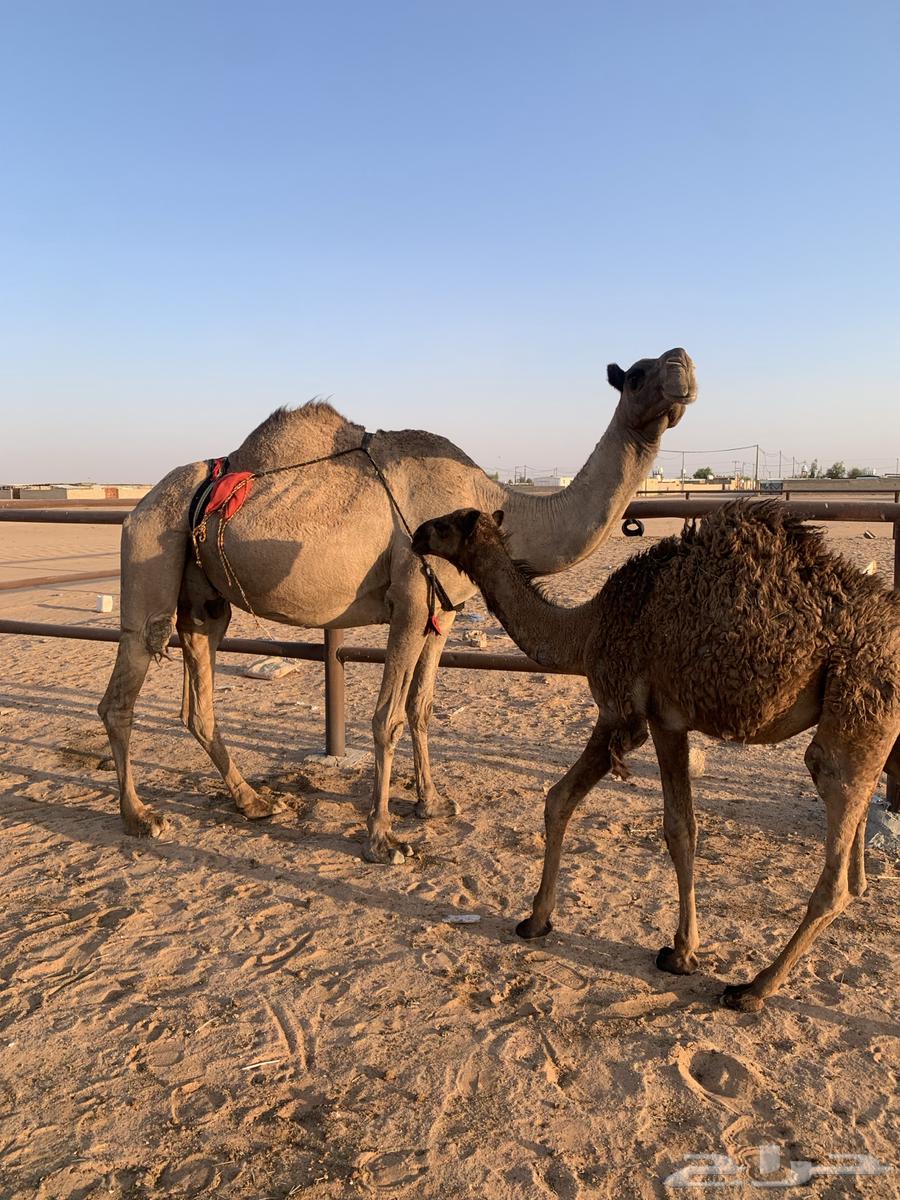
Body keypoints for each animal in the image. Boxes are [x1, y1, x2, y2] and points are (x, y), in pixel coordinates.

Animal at [98, 348, 697, 863]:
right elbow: (385, 716)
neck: (495, 502)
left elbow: (420, 706)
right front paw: (384, 839)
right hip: (150, 550)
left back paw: (253, 801)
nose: (682, 365)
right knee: (123, 688)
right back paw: (141, 816)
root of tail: (140, 503)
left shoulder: (444, 611)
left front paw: (431, 803)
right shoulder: (410, 600)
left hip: (204, 600)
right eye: (637, 374)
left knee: (198, 697)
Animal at [411, 501, 900, 1009]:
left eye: (444, 524)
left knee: (834, 861)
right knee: (856, 860)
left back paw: (753, 988)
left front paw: (680, 954)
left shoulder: (634, 712)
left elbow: (667, 826)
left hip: (860, 702)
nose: (416, 535)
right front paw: (539, 919)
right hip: (884, 733)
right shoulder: (651, 719)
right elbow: (572, 802)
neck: (585, 629)